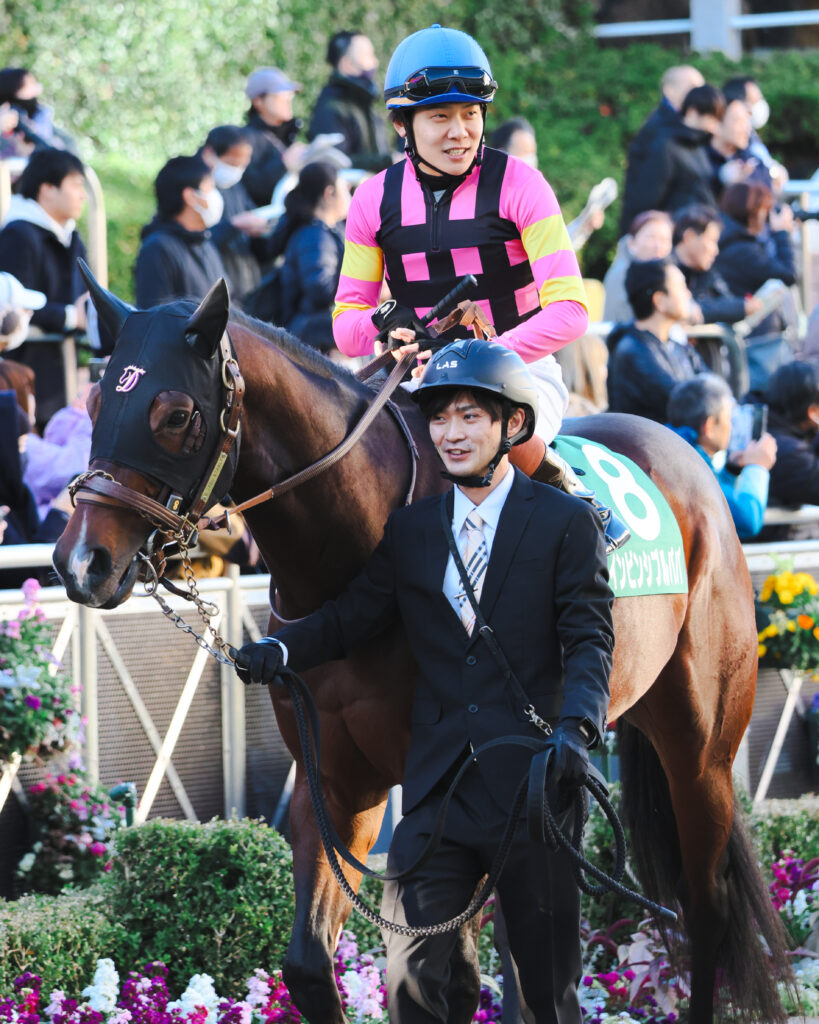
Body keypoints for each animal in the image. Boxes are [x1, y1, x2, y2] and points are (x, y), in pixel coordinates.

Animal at [53, 272, 791, 1024]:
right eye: (94, 401)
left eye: (174, 414)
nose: (81, 563)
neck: (350, 556)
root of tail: (685, 456)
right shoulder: (337, 779)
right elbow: (314, 963)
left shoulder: (454, 786)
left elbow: (451, 975)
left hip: (698, 747)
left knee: (702, 907)